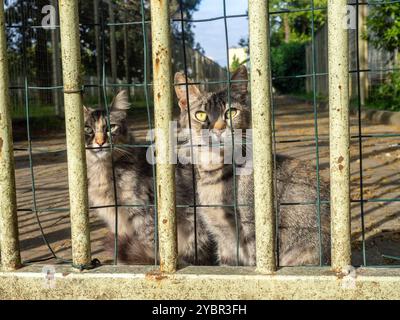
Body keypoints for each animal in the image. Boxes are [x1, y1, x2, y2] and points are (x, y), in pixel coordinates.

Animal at [84, 90, 216, 264]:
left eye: (111, 128)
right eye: (88, 129)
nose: (100, 142)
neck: (103, 170)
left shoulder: (144, 216)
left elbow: (150, 248)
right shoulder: (117, 222)